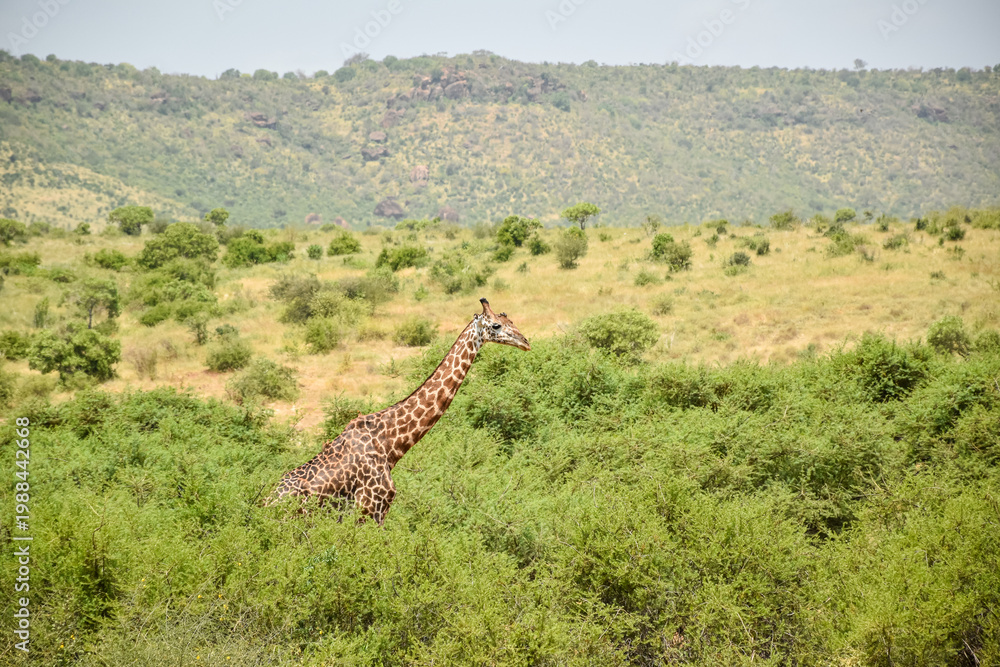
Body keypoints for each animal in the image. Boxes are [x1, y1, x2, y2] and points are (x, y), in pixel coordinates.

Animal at [267, 298, 530, 524]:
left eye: (511, 320)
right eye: (496, 325)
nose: (526, 342)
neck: (390, 444)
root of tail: (265, 504)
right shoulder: (370, 508)